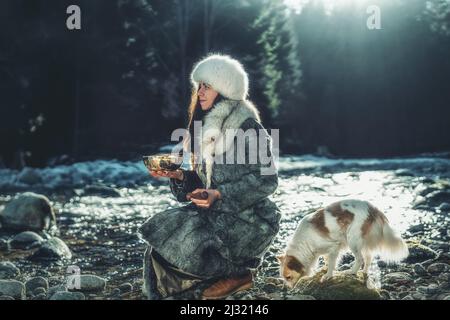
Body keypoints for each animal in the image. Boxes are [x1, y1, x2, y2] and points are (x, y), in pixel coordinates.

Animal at [276, 200, 410, 288]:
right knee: (368, 258)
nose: (288, 289)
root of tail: (373, 208)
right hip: (363, 242)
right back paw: (364, 272)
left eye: (288, 277)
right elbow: (327, 260)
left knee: (360, 258)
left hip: (352, 239)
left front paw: (328, 275)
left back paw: (351, 271)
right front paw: (324, 269)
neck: (304, 243)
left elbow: (331, 263)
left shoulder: (334, 246)